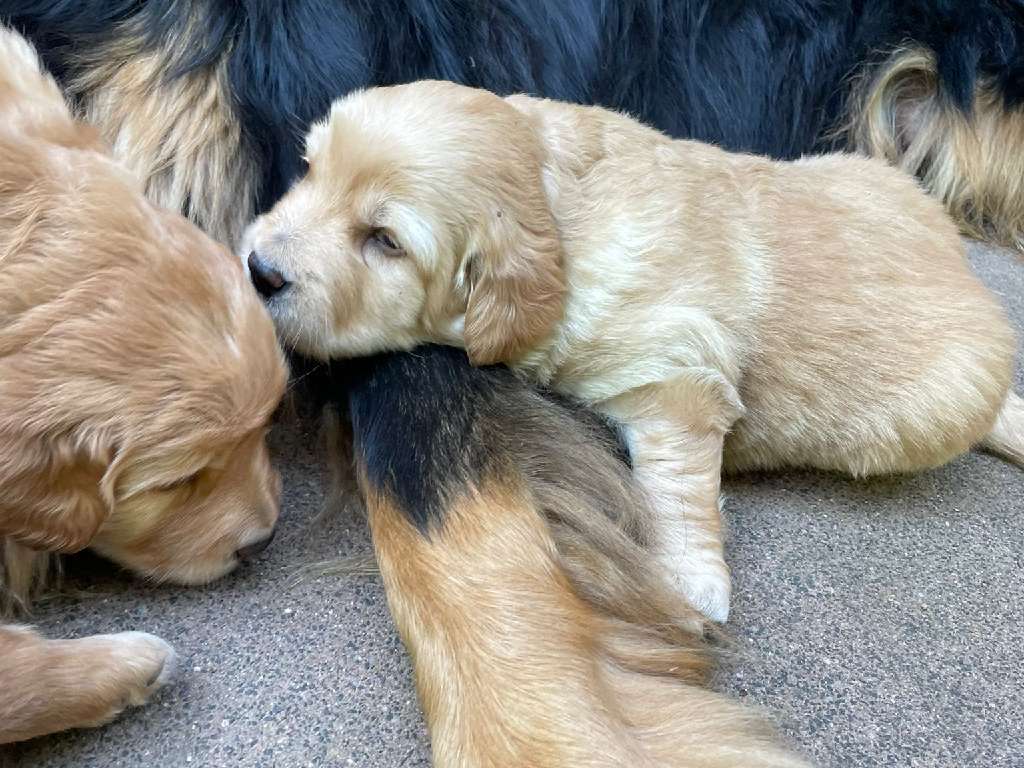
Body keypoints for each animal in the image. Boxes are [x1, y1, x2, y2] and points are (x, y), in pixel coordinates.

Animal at [241, 80, 1024, 623]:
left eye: (385, 241)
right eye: (307, 170)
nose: (258, 270)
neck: (560, 215)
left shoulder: (677, 372)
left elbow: (676, 479)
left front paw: (691, 582)